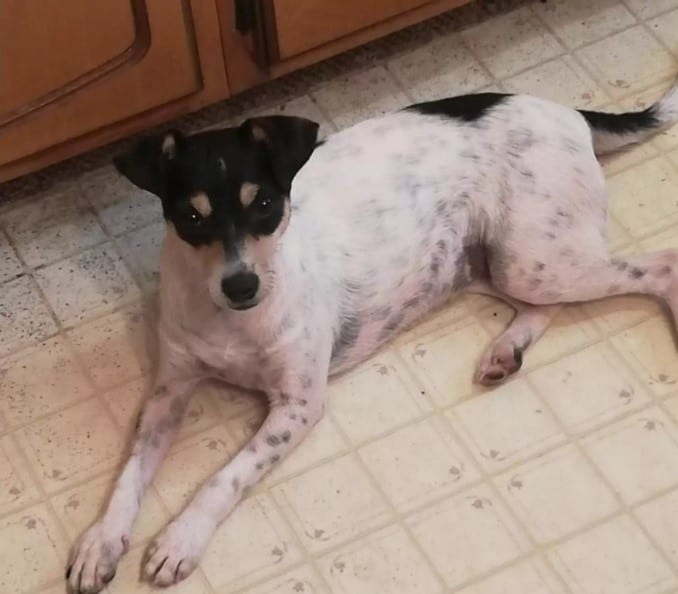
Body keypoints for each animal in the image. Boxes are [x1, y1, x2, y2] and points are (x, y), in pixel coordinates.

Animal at [67, 80, 678, 592]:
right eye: (191, 218)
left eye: (264, 204)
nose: (241, 286)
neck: (230, 316)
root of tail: (566, 111)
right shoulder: (167, 393)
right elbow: (128, 476)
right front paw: (101, 540)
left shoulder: (298, 406)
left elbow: (224, 478)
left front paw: (180, 538)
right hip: (499, 263)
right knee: (544, 307)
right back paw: (506, 351)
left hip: (536, 257)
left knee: (661, 265)